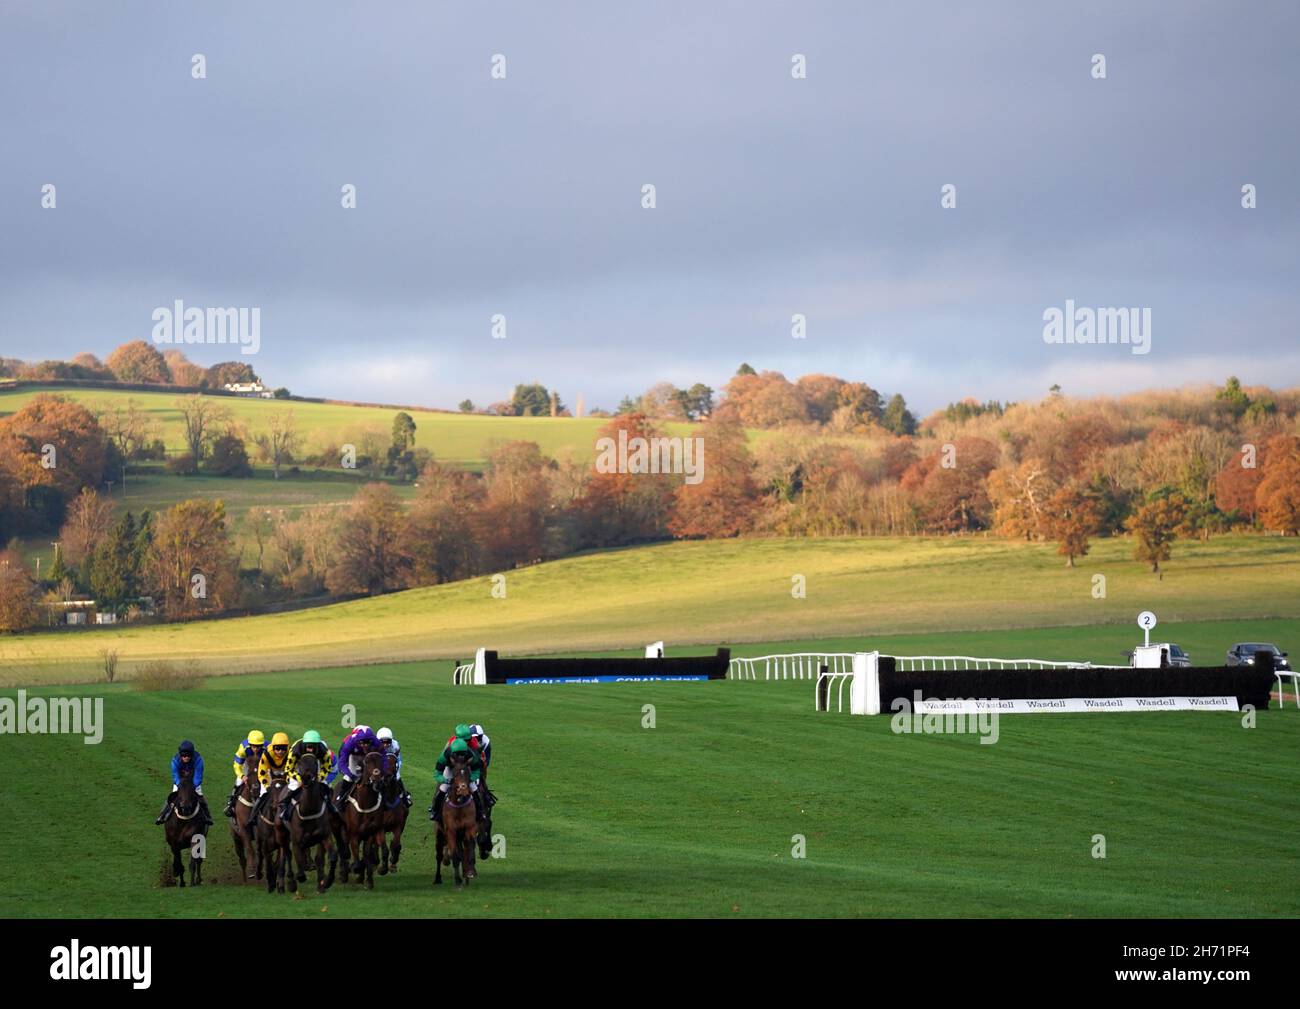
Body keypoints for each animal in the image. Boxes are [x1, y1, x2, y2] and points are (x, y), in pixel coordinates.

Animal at [274, 754, 338, 894]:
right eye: (299, 763)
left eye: (314, 763)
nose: (306, 779)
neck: (309, 810)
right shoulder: (297, 841)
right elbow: (299, 865)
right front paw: (297, 879)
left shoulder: (324, 836)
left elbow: (331, 857)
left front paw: (326, 882)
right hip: (281, 833)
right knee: (287, 854)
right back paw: (289, 883)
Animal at [338, 754, 382, 889]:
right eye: (367, 762)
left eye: (381, 760)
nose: (377, 781)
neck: (365, 804)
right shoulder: (354, 834)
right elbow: (356, 855)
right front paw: (354, 868)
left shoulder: (370, 833)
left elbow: (367, 855)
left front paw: (368, 880)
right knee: (344, 848)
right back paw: (344, 873)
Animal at [436, 754, 478, 889]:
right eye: (454, 773)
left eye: (468, 773)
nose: (463, 790)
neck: (459, 805)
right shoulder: (451, 831)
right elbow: (454, 855)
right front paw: (458, 881)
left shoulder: (470, 828)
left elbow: (469, 849)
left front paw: (469, 873)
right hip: (439, 832)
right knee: (440, 855)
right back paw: (437, 878)